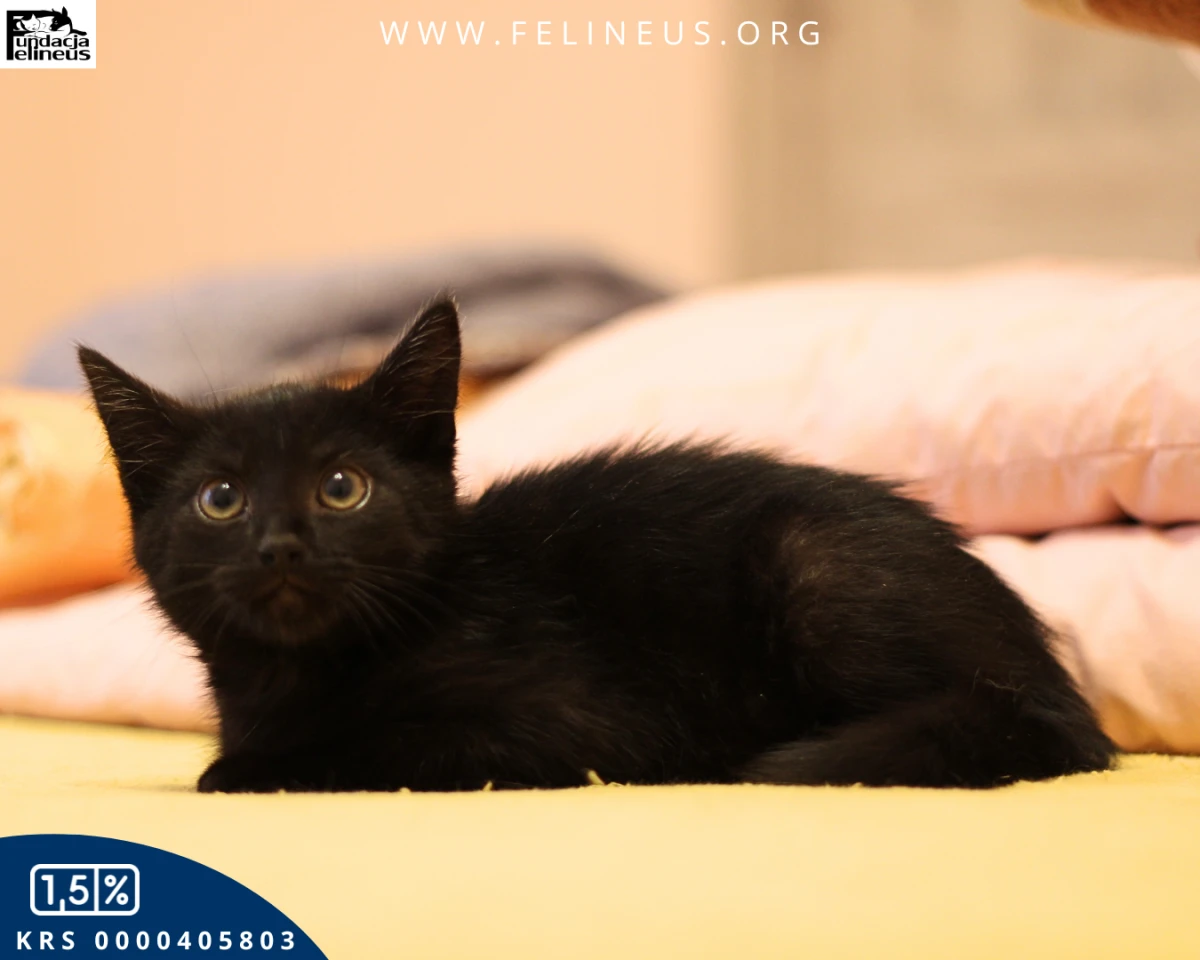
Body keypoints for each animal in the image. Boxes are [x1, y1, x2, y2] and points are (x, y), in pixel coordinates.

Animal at [78, 298, 1116, 793]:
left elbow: (388, 741)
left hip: (814, 565)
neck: (299, 678)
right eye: (220, 500)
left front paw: (250, 769)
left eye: (342, 488)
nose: (281, 546)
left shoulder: (572, 721)